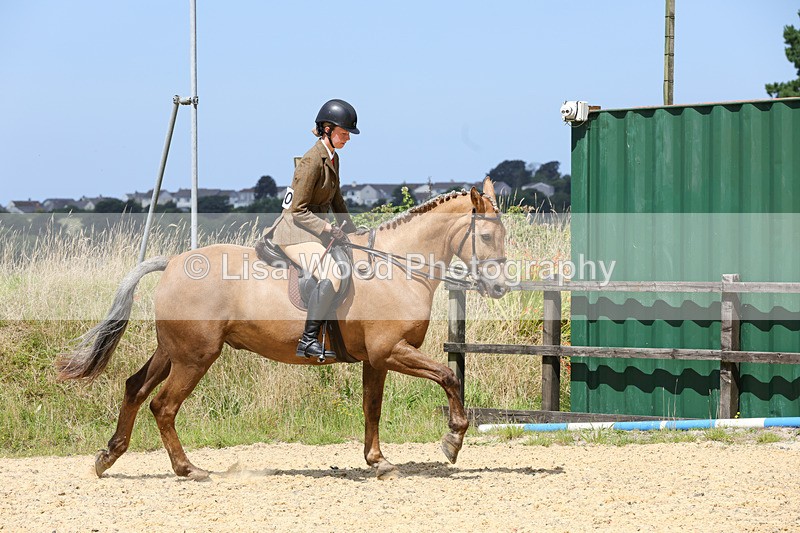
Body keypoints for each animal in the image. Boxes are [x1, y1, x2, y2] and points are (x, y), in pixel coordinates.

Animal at [56, 178, 509, 480]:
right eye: (486, 236)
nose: (501, 287)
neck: (396, 268)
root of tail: (173, 262)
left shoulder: (376, 359)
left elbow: (372, 408)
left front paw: (378, 462)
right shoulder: (391, 350)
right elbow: (449, 375)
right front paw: (453, 441)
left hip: (173, 350)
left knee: (135, 389)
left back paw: (108, 457)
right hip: (195, 356)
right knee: (163, 405)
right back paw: (188, 469)